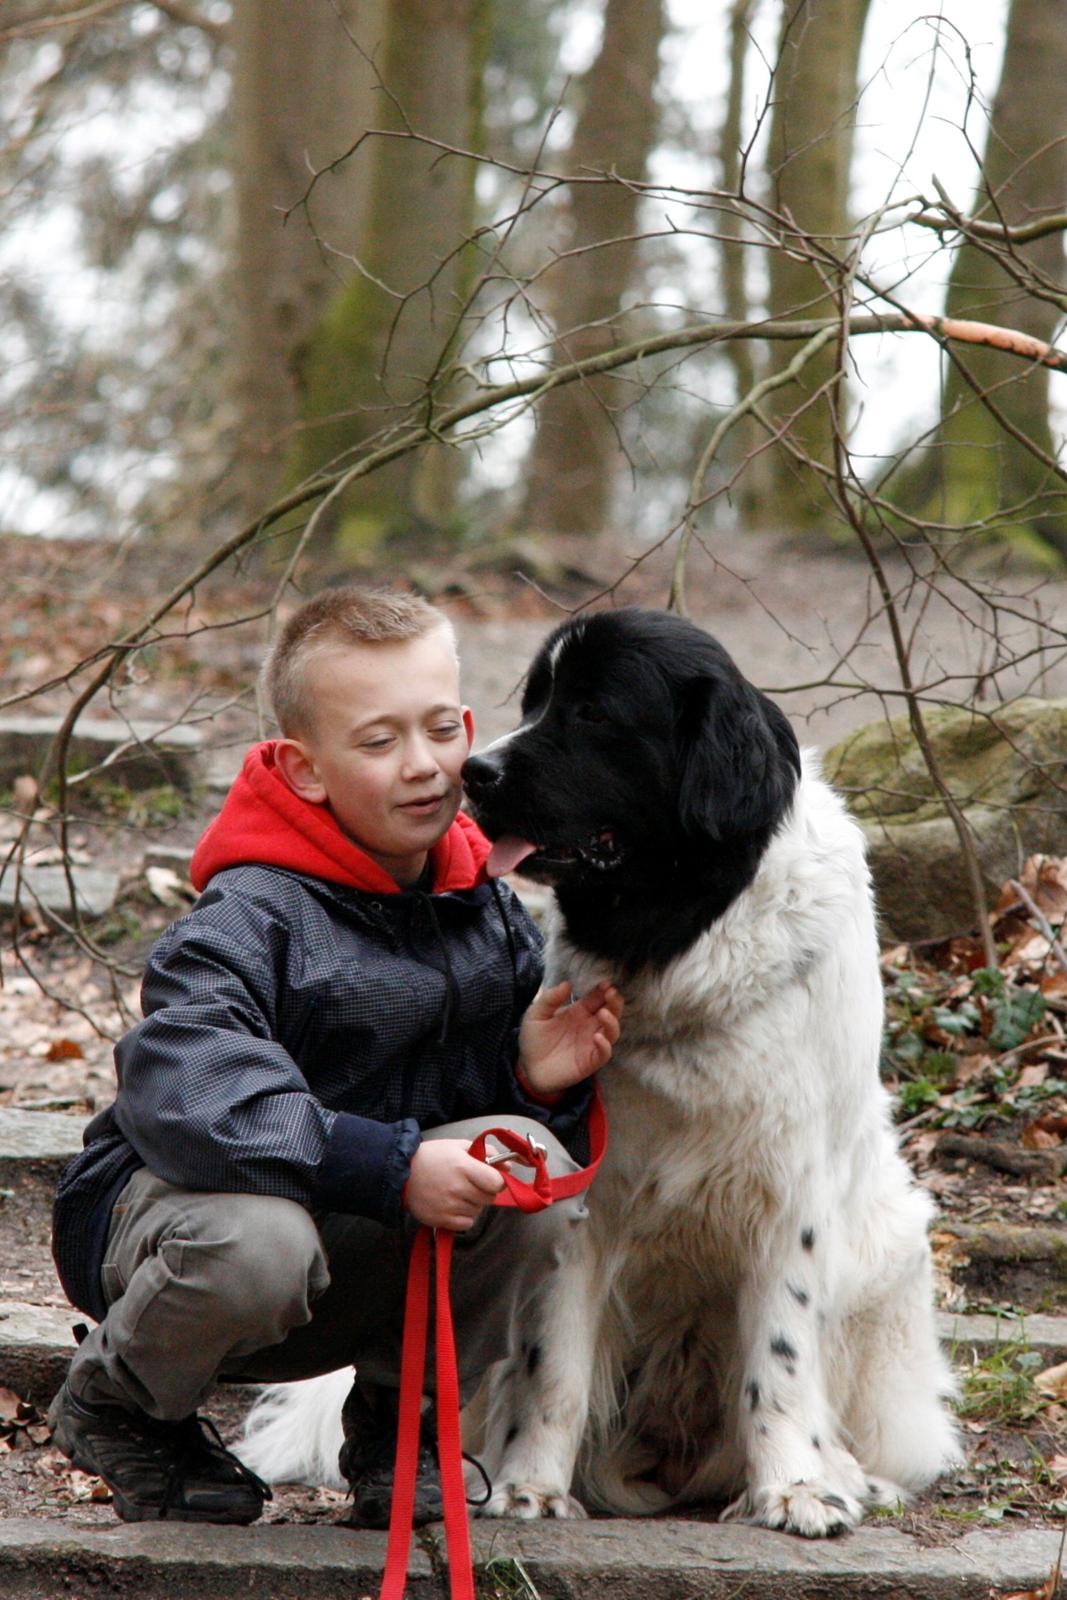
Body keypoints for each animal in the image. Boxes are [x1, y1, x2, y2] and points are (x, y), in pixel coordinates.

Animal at [239, 604, 959, 1529]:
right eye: (536, 702)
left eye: (591, 714)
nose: (474, 771)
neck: (680, 941)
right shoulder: (578, 1194)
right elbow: (556, 1361)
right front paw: (530, 1486)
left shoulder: (791, 1191)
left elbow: (780, 1356)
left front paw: (795, 1486)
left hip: (891, 1251)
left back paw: (846, 1471)